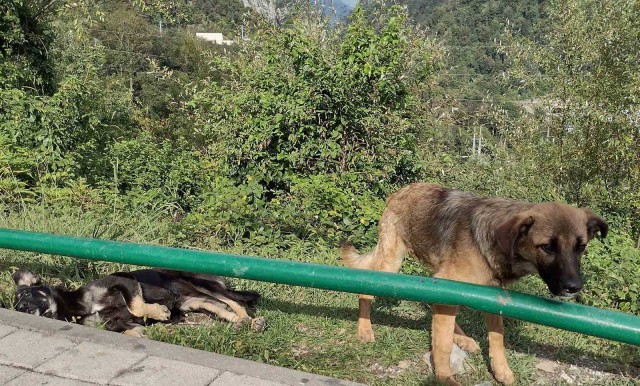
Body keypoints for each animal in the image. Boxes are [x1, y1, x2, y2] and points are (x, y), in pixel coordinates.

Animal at [12, 268, 264, 334]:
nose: (22, 308)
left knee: (237, 303)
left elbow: (135, 305)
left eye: (26, 294)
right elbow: (132, 330)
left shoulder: (123, 282)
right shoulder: (123, 326)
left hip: (205, 286)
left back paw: (252, 321)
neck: (81, 308)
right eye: (16, 306)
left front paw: (159, 312)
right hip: (196, 301)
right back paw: (242, 323)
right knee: (223, 309)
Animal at [340, 182, 604, 384]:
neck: (496, 239)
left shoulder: (491, 296)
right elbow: (442, 345)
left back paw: (463, 338)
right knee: (366, 290)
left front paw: (501, 370)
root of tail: (401, 190)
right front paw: (444, 378)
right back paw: (364, 329)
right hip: (392, 263)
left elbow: (497, 338)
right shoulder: (451, 285)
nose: (573, 287)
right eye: (547, 247)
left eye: (581, 247)